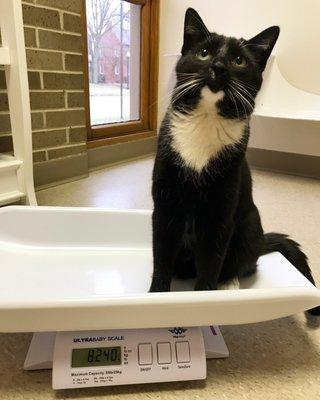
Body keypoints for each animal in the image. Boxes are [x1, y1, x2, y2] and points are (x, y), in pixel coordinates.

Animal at [150, 6, 320, 316]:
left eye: (239, 60)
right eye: (204, 53)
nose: (218, 66)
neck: (205, 121)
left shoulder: (221, 210)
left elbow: (211, 261)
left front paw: (205, 300)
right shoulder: (165, 204)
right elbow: (162, 254)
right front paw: (156, 296)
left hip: (250, 223)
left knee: (244, 263)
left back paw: (228, 283)